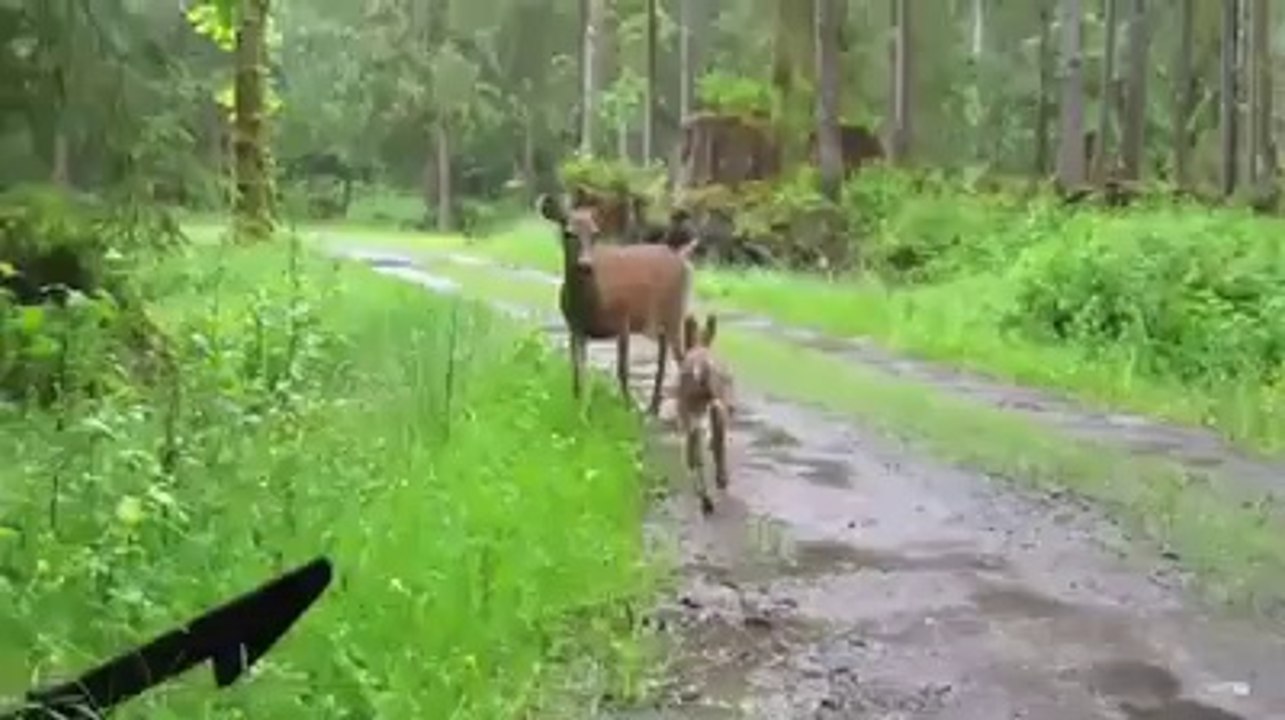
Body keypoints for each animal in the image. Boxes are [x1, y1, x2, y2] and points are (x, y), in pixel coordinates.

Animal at [536, 192, 698, 416]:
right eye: (568, 233)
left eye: (596, 234)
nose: (585, 265)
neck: (590, 303)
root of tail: (681, 257)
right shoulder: (574, 326)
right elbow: (577, 368)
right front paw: (580, 407)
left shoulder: (623, 320)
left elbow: (622, 370)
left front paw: (627, 407)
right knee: (663, 355)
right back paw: (653, 407)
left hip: (676, 312)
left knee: (682, 357)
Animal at [676, 313, 734, 515]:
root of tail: (701, 368)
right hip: (715, 405)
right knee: (713, 441)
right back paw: (715, 488)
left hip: (689, 413)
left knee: (694, 456)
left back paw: (704, 498)